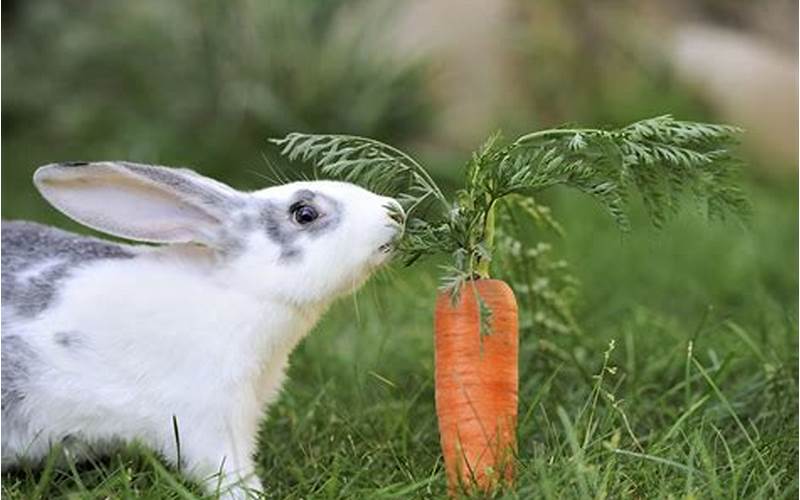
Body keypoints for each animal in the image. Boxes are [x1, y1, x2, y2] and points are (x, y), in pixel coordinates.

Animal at [0, 162, 400, 498]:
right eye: (304, 213)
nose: (394, 211)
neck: (241, 289)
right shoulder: (210, 417)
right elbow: (226, 468)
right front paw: (250, 494)